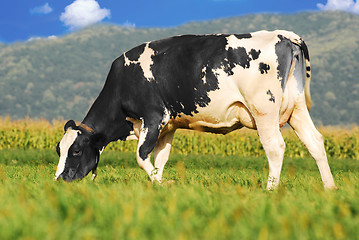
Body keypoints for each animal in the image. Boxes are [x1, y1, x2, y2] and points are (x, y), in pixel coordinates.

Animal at [54, 30, 338, 190]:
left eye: (76, 150)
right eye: (59, 149)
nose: (59, 180)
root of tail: (284, 35)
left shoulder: (154, 117)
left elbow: (141, 156)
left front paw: (163, 183)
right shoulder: (168, 126)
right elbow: (160, 158)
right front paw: (160, 184)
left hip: (263, 110)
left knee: (275, 147)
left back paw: (270, 190)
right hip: (296, 108)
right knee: (315, 141)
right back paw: (330, 188)